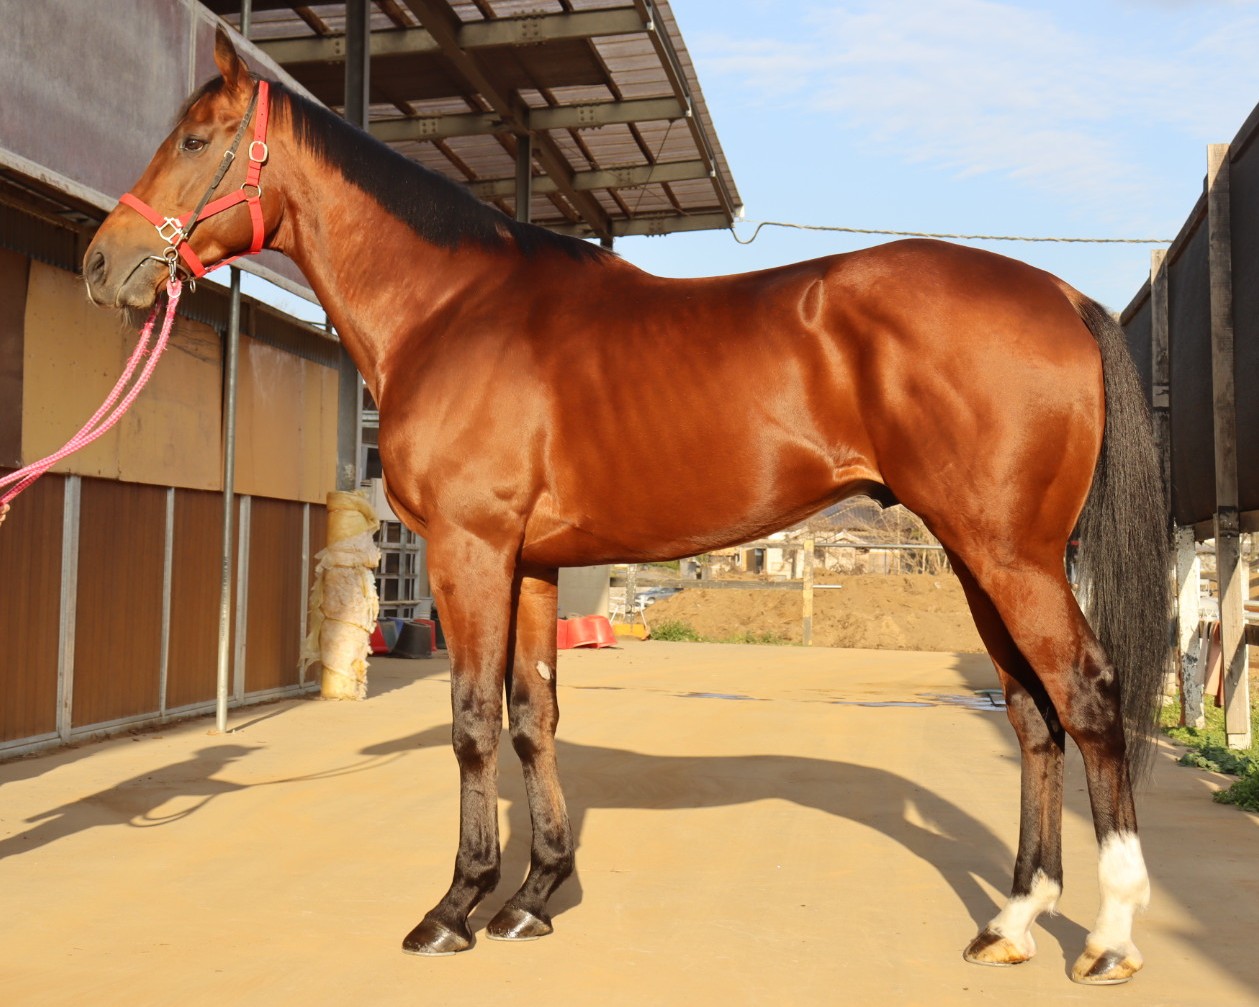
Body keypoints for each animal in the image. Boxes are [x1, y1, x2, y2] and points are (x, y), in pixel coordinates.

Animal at [83, 28, 1170, 985]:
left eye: (194, 139)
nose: (103, 263)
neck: (450, 307)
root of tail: (1063, 297)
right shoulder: (528, 562)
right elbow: (534, 716)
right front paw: (533, 895)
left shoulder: (470, 551)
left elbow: (472, 720)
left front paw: (455, 907)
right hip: (976, 554)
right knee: (1030, 714)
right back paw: (1012, 921)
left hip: (1009, 554)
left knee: (1084, 695)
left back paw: (1108, 938)